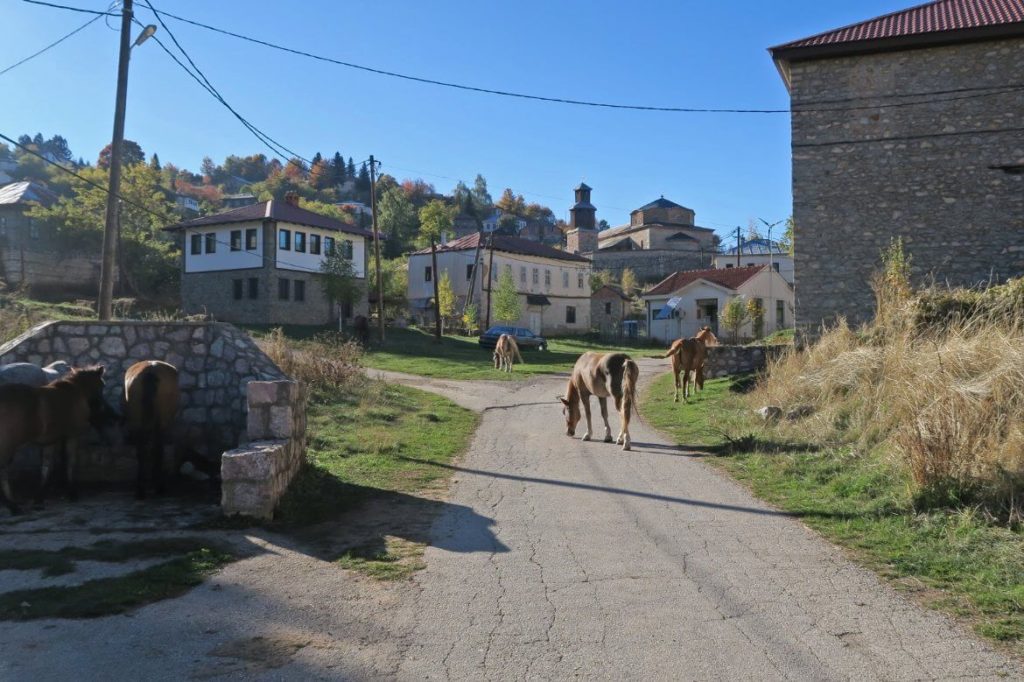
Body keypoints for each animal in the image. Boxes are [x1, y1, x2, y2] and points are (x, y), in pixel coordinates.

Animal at [0, 364, 105, 512]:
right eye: (102, 385)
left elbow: (46, 467)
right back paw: (12, 506)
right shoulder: (72, 436)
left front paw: (39, 498)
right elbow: (70, 462)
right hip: (8, 445)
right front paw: (72, 493)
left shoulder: (50, 441)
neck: (76, 391)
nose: (102, 408)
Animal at [123, 358, 180, 497]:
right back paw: (158, 486)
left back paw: (140, 490)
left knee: (142, 451)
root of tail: (150, 370)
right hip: (160, 424)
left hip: (138, 423)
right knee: (157, 449)